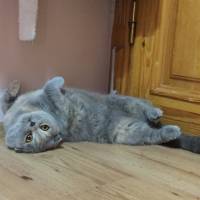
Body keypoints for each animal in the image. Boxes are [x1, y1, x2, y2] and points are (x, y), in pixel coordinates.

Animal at [1, 76, 200, 153]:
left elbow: (48, 86)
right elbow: (51, 89)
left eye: (43, 127)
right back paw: (172, 131)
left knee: (143, 105)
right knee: (153, 135)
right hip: (127, 131)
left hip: (123, 101)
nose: (32, 125)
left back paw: (155, 112)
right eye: (29, 137)